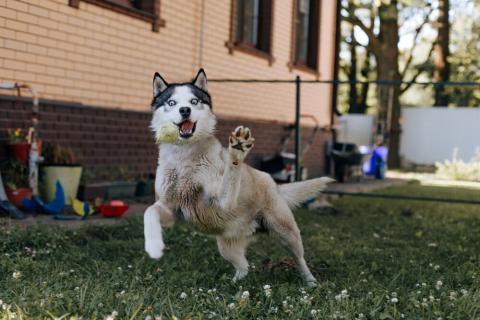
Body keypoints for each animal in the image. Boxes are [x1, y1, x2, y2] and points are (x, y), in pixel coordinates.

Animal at [145, 69, 334, 286]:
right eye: (172, 102)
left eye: (194, 101)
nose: (185, 110)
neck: (185, 157)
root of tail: (274, 184)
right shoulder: (170, 208)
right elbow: (149, 212)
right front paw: (153, 246)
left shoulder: (223, 202)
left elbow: (231, 174)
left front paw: (237, 151)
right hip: (226, 246)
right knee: (244, 267)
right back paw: (232, 284)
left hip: (286, 232)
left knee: (299, 258)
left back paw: (310, 281)